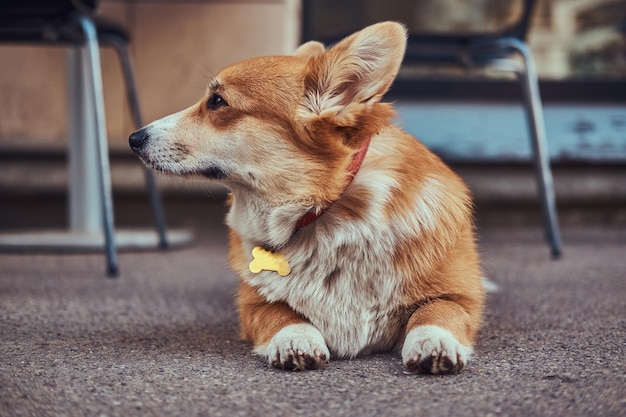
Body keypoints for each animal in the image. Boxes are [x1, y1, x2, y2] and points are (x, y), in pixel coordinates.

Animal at [129, 21, 482, 372]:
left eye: (217, 101)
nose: (134, 139)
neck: (322, 210)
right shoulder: (254, 304)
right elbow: (283, 314)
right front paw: (294, 340)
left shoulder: (460, 296)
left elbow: (435, 311)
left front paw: (434, 343)